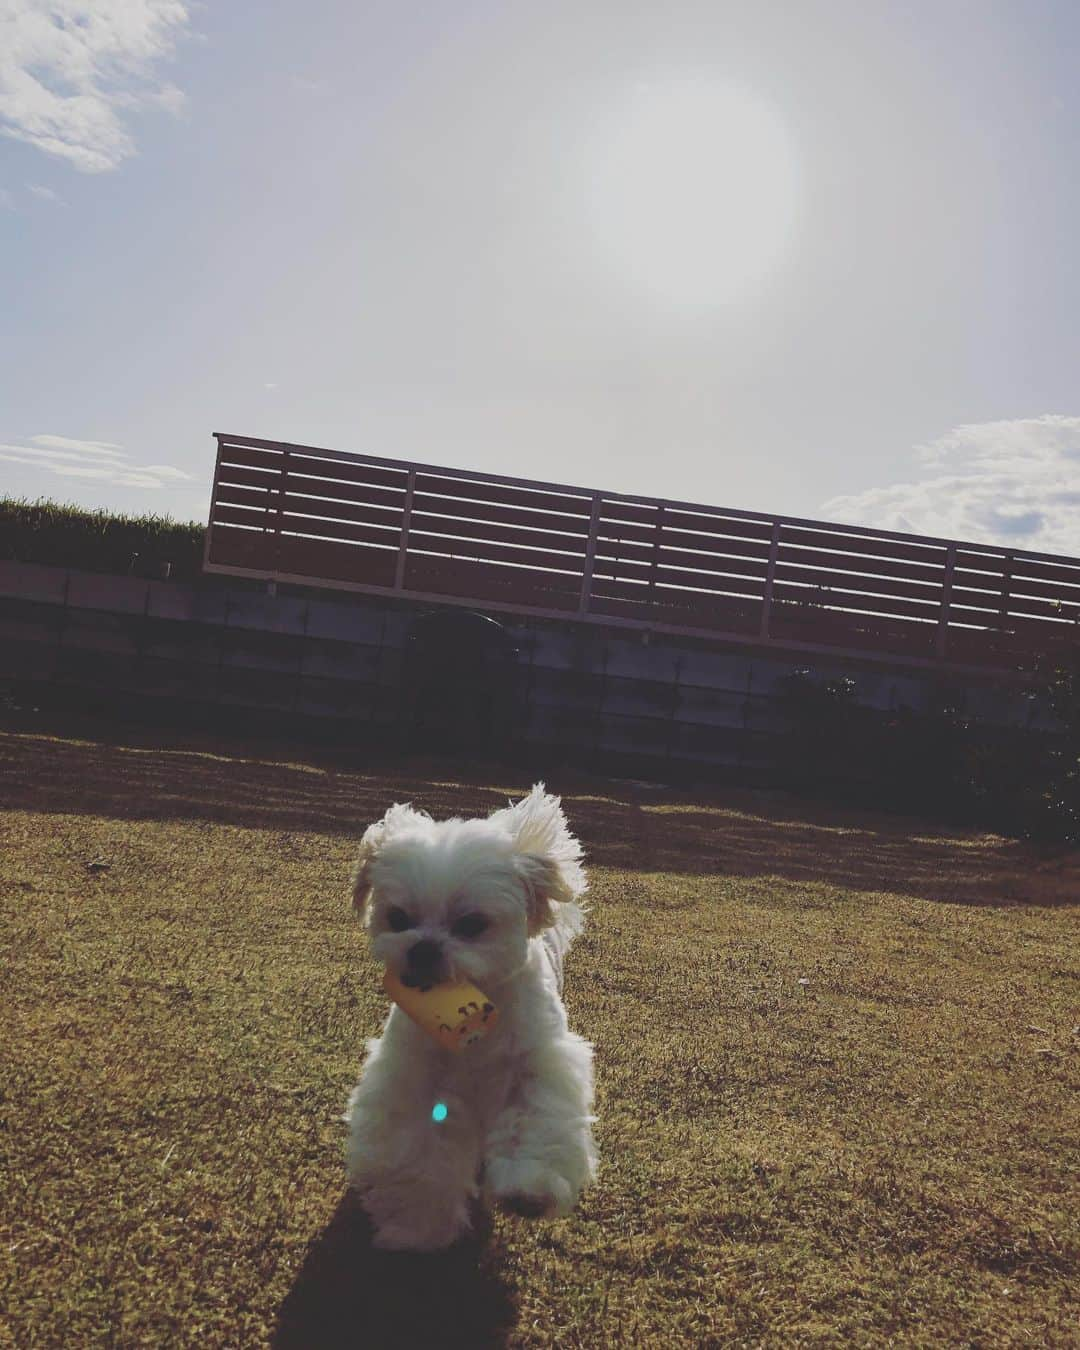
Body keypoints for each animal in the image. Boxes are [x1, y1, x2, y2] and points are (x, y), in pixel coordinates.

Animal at [344, 788, 594, 1247]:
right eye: (398, 918)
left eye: (472, 924)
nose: (423, 948)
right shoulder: (418, 1083)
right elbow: (420, 1156)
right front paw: (417, 1223)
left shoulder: (536, 1065)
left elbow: (530, 1120)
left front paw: (528, 1190)